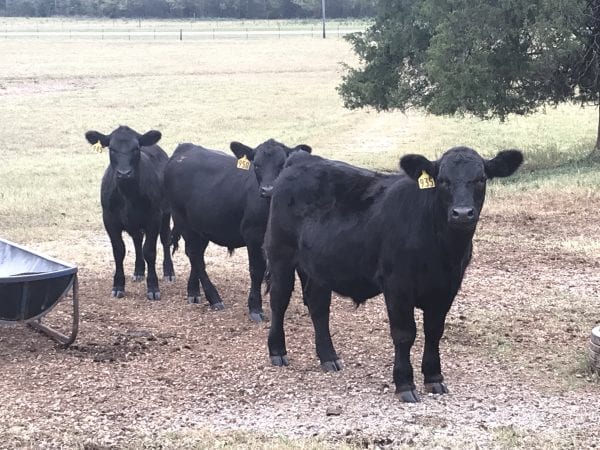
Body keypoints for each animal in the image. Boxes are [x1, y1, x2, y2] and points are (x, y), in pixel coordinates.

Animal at [84, 125, 175, 300]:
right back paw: (138, 271)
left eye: (136, 148)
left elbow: (150, 251)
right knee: (137, 240)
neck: (128, 194)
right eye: (112, 148)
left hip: (166, 212)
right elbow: (119, 251)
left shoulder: (154, 218)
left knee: (165, 239)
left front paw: (153, 287)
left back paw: (169, 271)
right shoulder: (109, 219)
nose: (124, 173)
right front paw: (118, 285)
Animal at [166, 139, 312, 322]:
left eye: (282, 164)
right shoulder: (253, 235)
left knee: (196, 255)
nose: (267, 189)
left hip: (202, 228)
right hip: (183, 220)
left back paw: (193, 292)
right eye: (256, 164)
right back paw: (214, 298)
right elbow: (256, 270)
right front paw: (255, 308)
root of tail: (184, 148)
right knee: (194, 256)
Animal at [264, 146, 524, 402]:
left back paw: (329, 357)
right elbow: (404, 334)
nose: (461, 213)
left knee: (318, 306)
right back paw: (277, 351)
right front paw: (405, 383)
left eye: (481, 179)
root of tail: (301, 159)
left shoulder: (446, 288)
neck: (443, 250)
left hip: (320, 266)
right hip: (280, 254)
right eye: (442, 180)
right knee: (279, 299)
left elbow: (434, 332)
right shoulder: (397, 286)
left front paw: (434, 378)